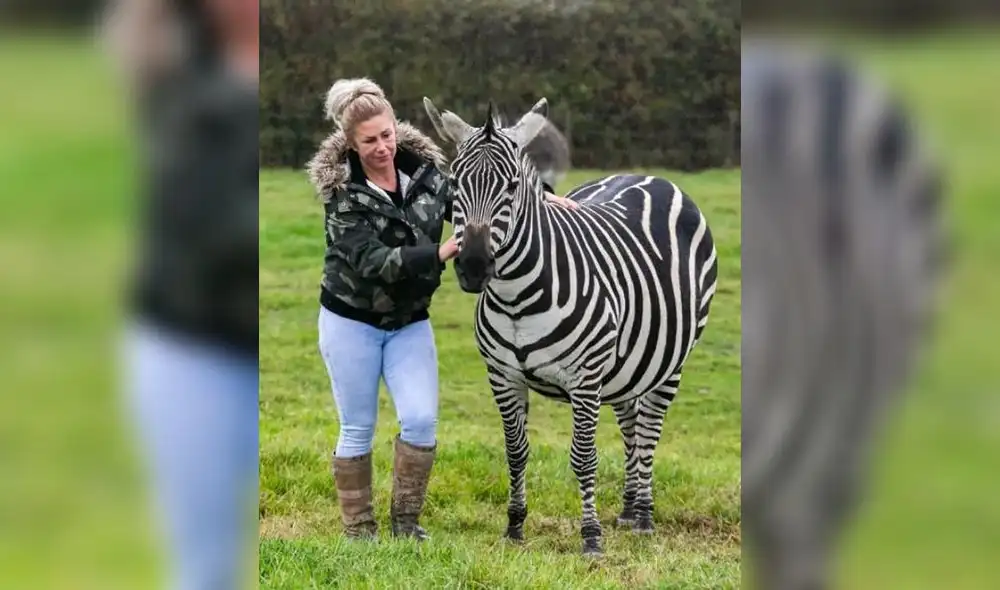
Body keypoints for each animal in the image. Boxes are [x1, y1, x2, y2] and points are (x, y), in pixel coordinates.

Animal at [423, 96, 719, 556]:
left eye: (512, 186)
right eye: (454, 184)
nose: (472, 267)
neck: (516, 298)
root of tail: (648, 176)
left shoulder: (585, 377)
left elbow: (584, 456)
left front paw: (591, 537)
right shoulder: (503, 376)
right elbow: (516, 451)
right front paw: (515, 526)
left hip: (669, 363)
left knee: (648, 431)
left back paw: (644, 517)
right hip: (626, 366)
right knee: (631, 424)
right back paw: (628, 510)